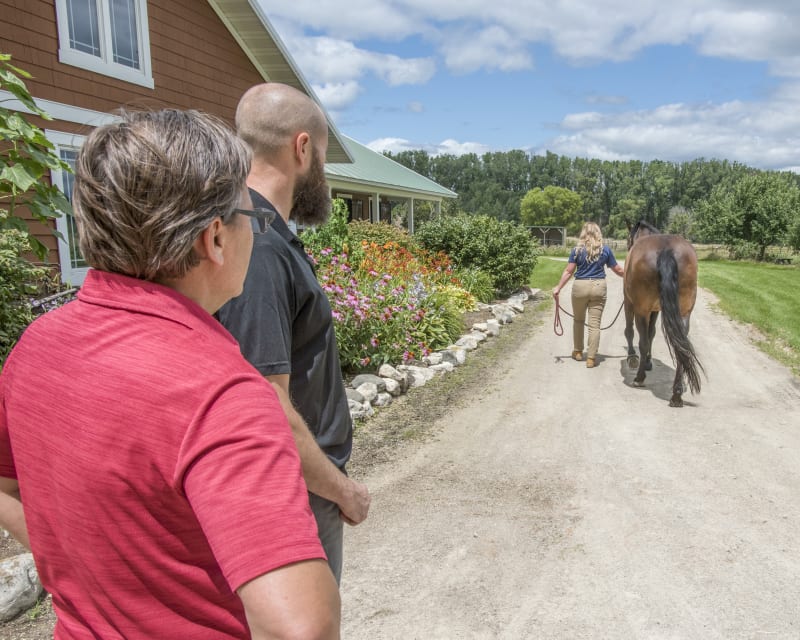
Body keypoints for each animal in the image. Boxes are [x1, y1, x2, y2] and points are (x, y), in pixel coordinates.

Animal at [620, 222, 704, 408]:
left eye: (628, 239)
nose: (628, 247)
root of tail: (666, 250)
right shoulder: (656, 310)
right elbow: (652, 334)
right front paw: (647, 362)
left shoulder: (630, 304)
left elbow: (631, 332)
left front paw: (633, 358)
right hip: (684, 313)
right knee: (681, 346)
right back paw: (677, 394)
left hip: (641, 310)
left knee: (643, 341)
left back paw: (639, 378)